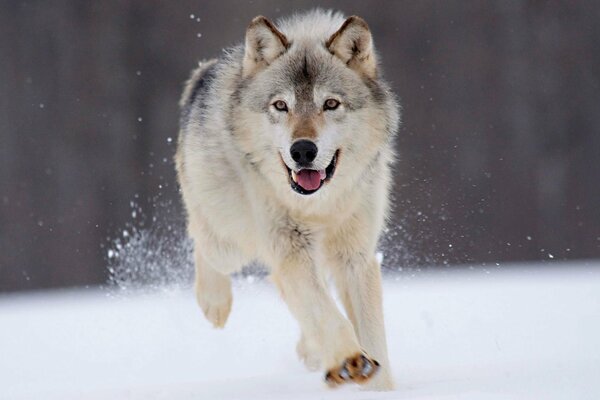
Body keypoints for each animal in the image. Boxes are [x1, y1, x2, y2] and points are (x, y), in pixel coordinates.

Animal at [175, 10, 398, 390]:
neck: (319, 206)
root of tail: (204, 73)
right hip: (231, 241)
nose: (303, 150)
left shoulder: (355, 256)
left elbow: (371, 334)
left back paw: (312, 352)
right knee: (202, 241)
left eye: (330, 104)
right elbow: (327, 312)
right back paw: (214, 303)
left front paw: (377, 385)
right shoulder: (290, 247)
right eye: (281, 105)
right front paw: (349, 359)